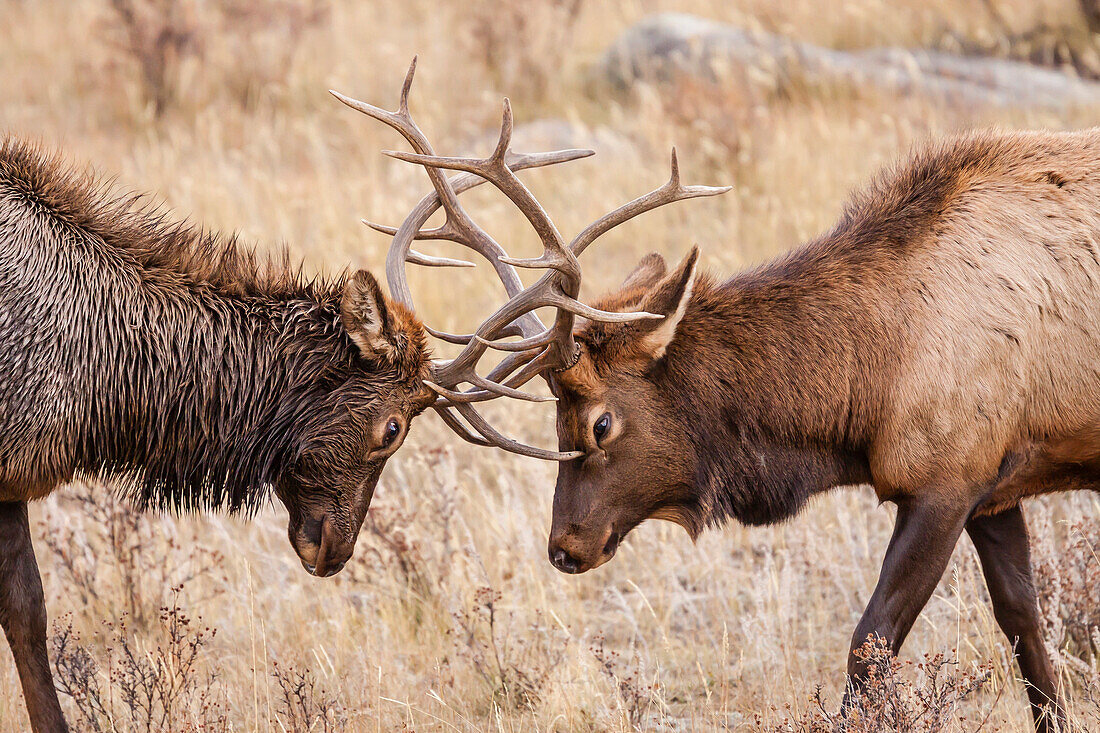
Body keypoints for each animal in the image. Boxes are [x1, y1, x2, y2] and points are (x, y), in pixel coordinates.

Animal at [358, 59, 1091, 726]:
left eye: (600, 423)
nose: (564, 546)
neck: (870, 384)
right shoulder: (992, 487)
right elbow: (1024, 625)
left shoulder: (945, 479)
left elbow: (868, 644)